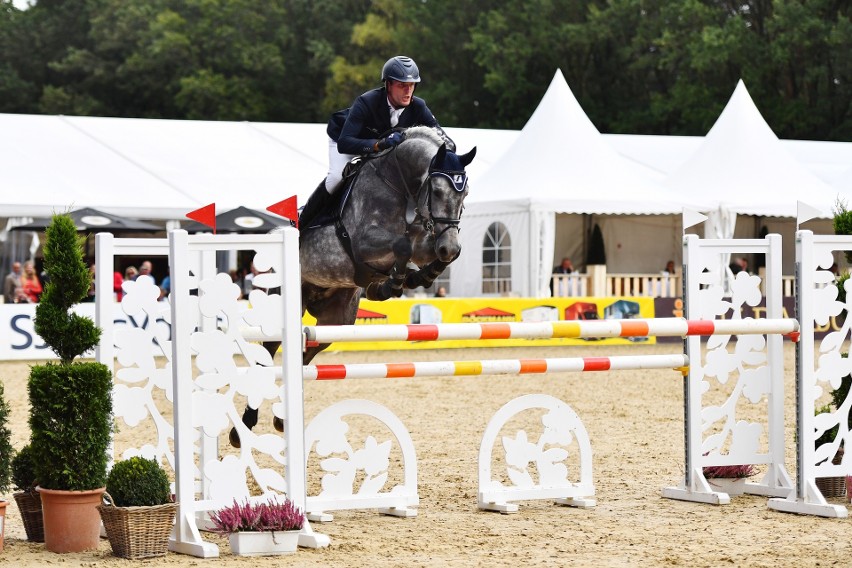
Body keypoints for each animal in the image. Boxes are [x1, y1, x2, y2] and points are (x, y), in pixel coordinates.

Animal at [230, 126, 476, 446]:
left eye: (465, 193)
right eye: (436, 192)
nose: (449, 246)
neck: (401, 184)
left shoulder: (426, 241)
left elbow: (422, 252)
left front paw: (411, 278)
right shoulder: (364, 242)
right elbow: (402, 244)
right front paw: (396, 281)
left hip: (337, 319)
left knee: (307, 353)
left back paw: (281, 418)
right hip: (286, 301)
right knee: (269, 351)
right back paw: (243, 427)